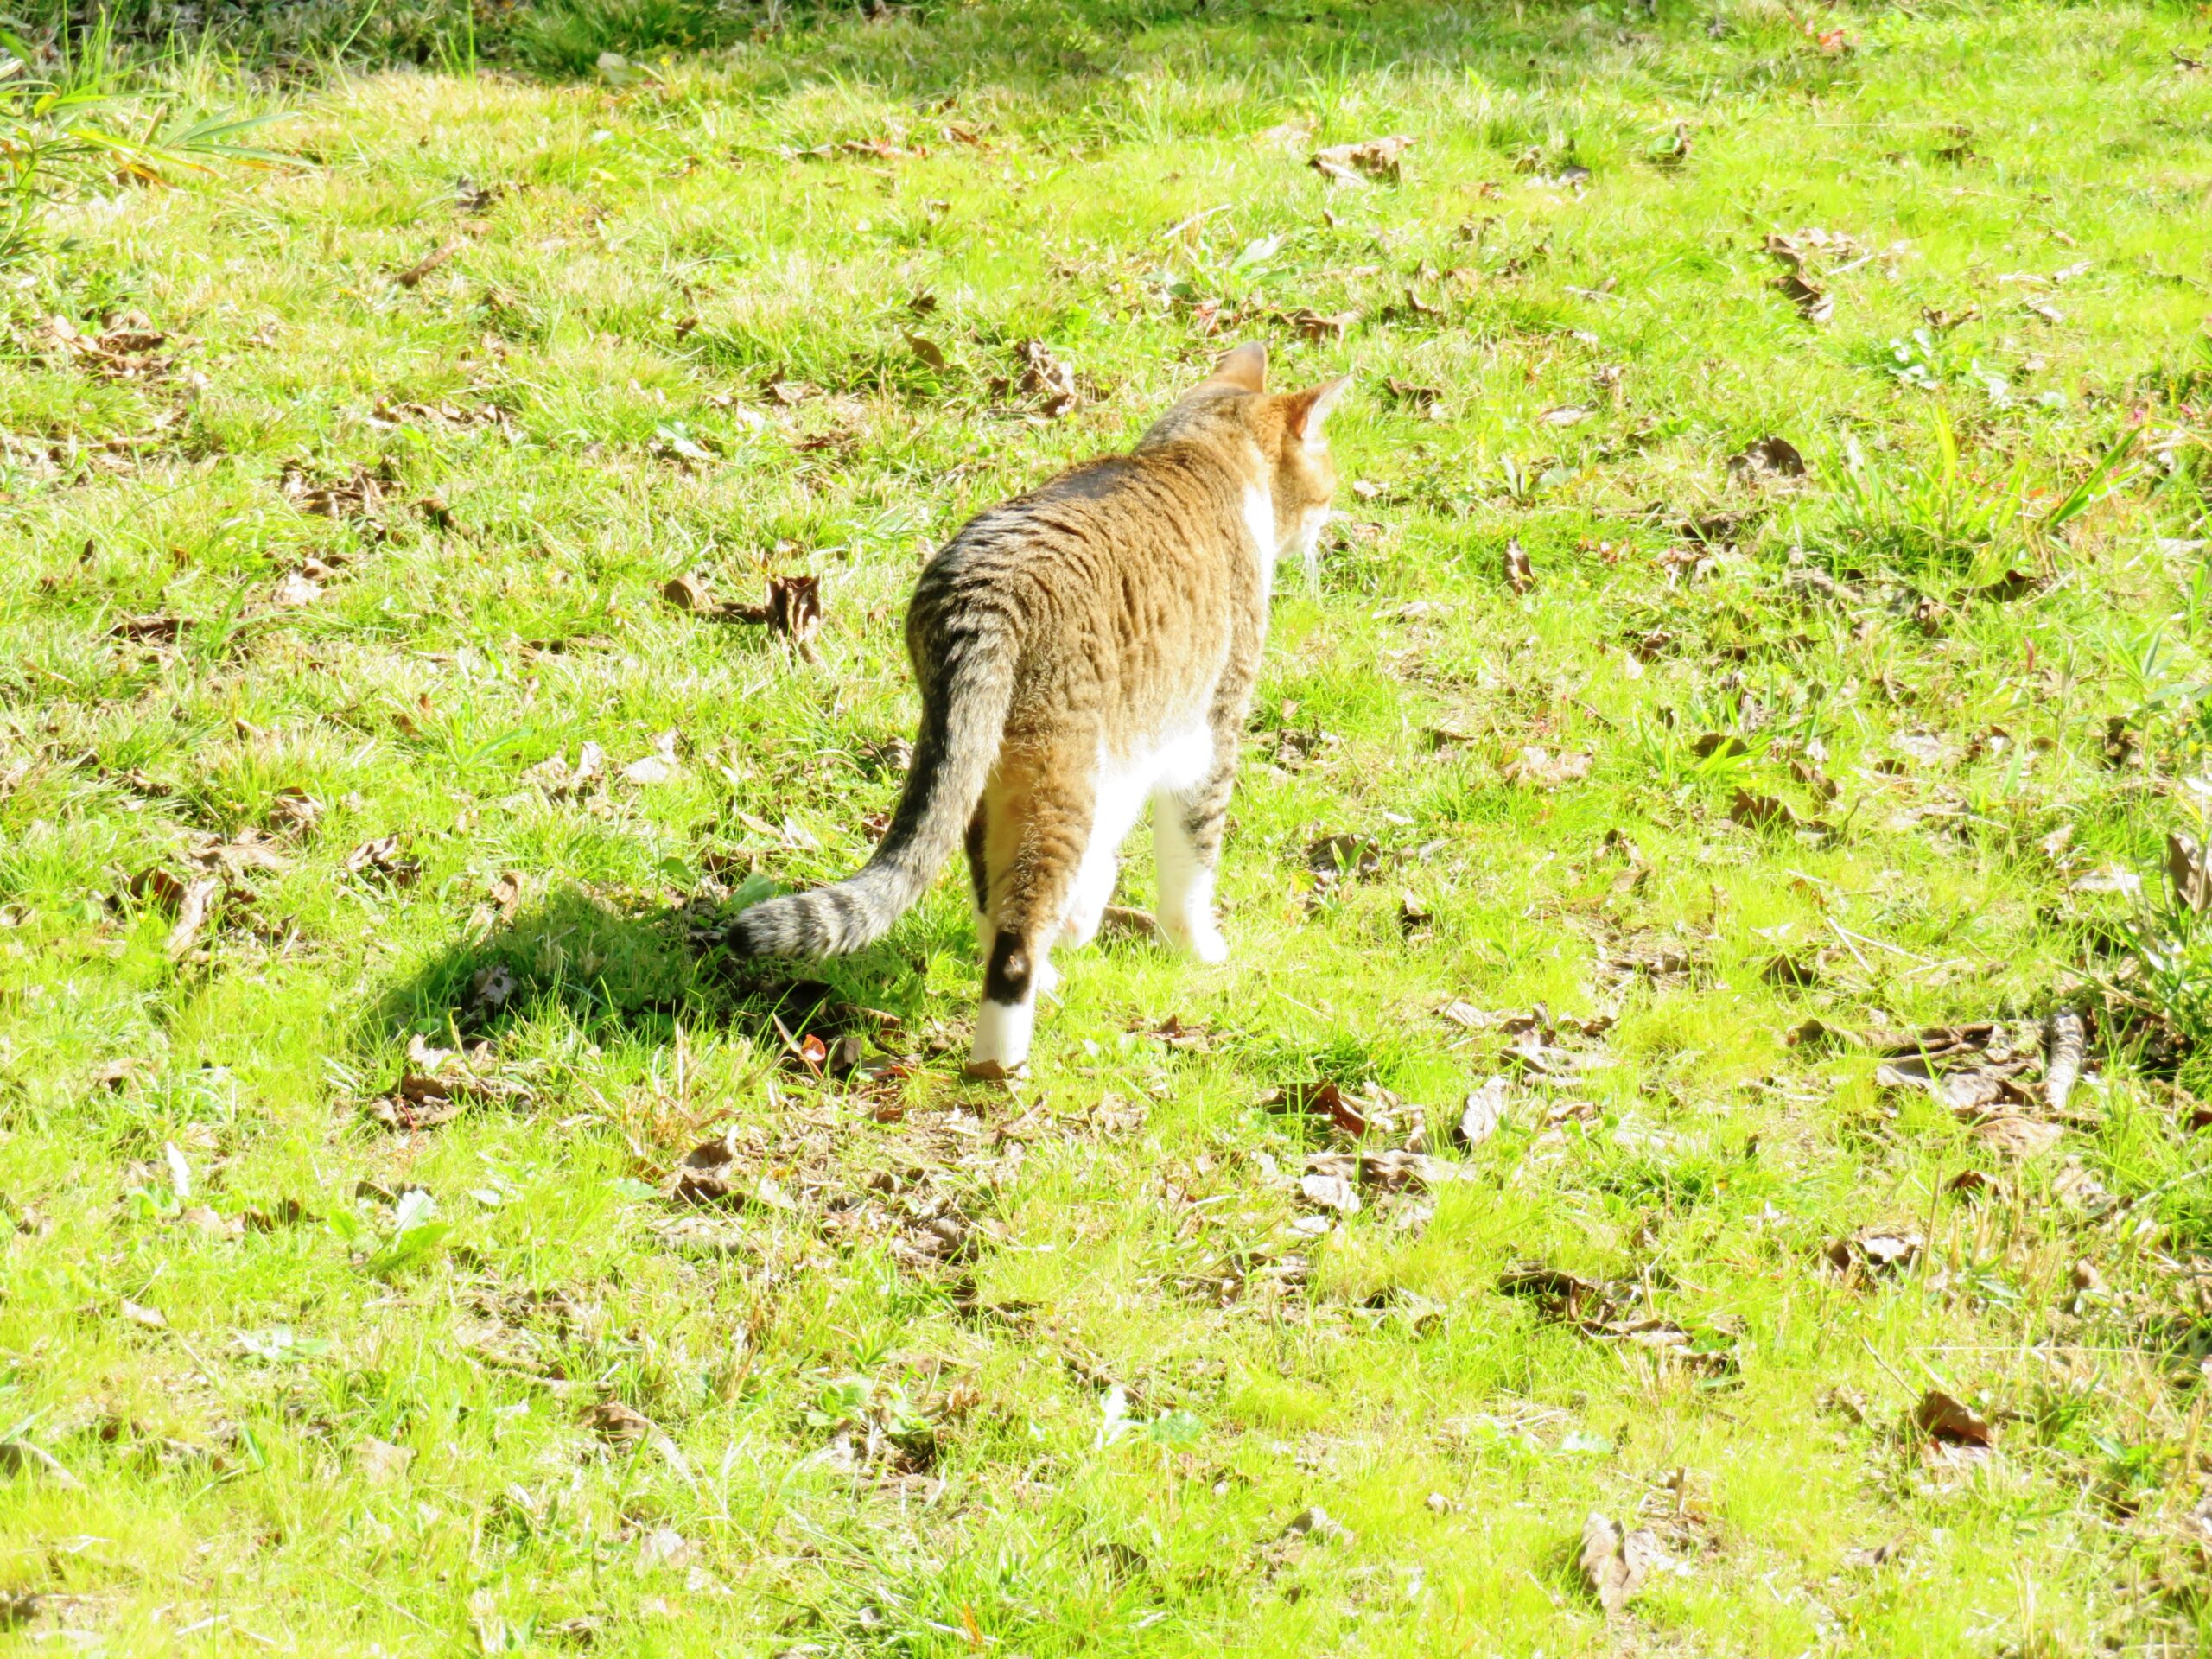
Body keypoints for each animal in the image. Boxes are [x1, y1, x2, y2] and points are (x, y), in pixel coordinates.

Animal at [729, 345, 1344, 1084]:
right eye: (1325, 487)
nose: (1329, 525)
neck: (1197, 456)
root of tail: (984, 594)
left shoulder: (1130, 741)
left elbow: (1103, 856)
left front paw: (1083, 922)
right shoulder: (1206, 732)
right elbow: (1191, 861)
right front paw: (1199, 950)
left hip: (982, 750)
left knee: (990, 884)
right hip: (1060, 760)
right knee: (1018, 931)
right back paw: (1003, 1061)